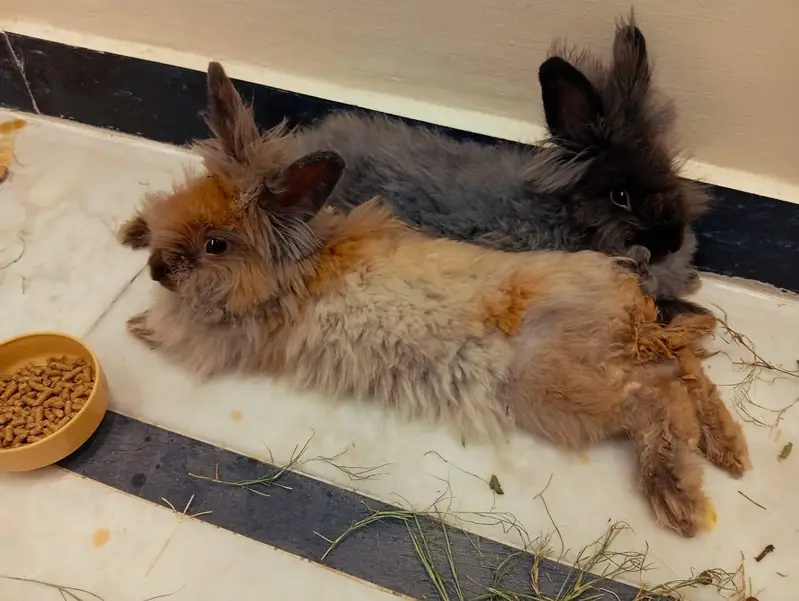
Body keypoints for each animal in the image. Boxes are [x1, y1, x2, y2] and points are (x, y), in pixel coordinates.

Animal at [118, 62, 749, 537]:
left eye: (215, 244)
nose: (156, 269)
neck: (297, 266)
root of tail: (631, 300)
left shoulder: (227, 337)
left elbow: (180, 329)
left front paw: (137, 324)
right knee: (682, 371)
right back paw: (726, 451)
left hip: (554, 387)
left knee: (657, 398)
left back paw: (680, 499)